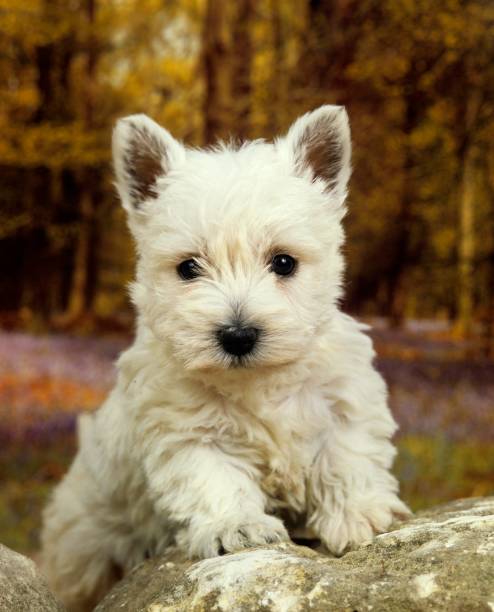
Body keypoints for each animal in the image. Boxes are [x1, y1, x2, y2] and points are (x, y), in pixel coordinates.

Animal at [40, 105, 410, 608]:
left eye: (284, 262)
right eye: (188, 268)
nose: (238, 335)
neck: (257, 379)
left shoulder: (343, 401)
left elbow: (348, 456)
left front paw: (359, 512)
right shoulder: (187, 432)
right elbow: (215, 479)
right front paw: (239, 526)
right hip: (84, 547)